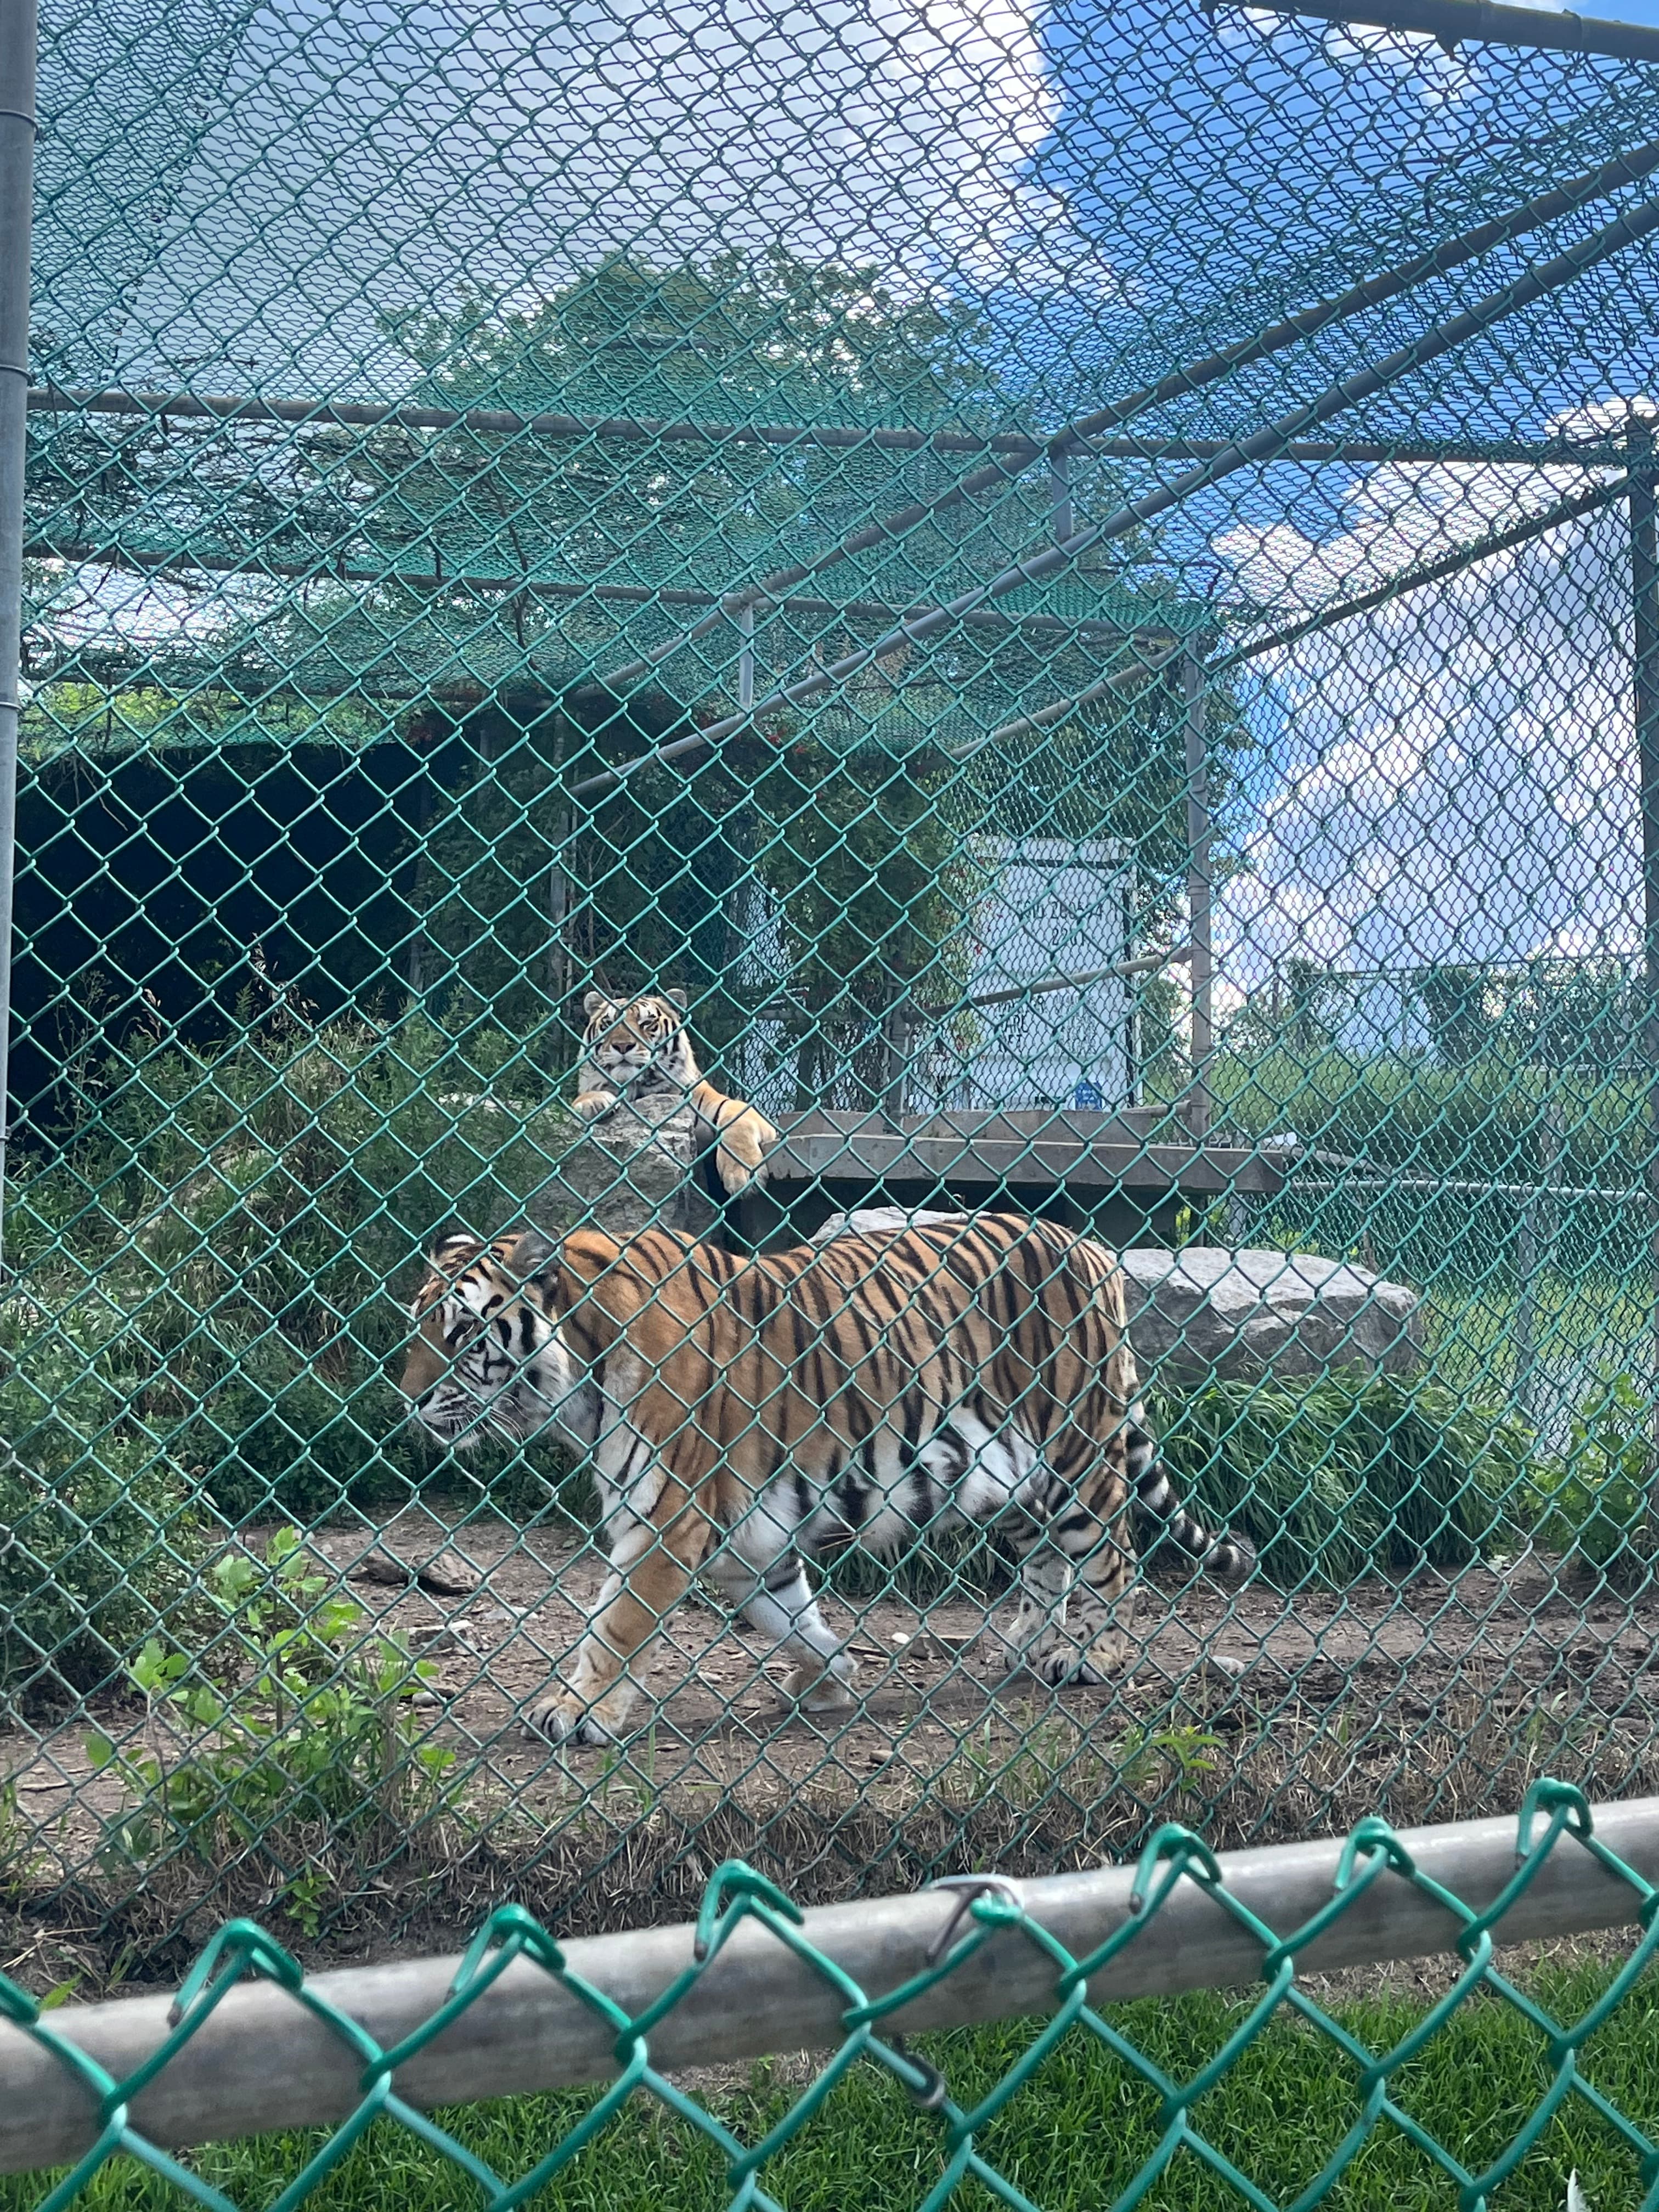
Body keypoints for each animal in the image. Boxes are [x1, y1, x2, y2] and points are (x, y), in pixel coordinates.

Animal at [401, 1211, 1252, 1747]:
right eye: (416, 1330)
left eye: (463, 1333)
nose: (407, 1396)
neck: (579, 1370)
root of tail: (1096, 1251)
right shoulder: (743, 1540)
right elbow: (789, 1618)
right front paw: (833, 1678)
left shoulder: (667, 1519)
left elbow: (614, 1627)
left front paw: (576, 1711)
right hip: (1009, 1472)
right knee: (1046, 1561)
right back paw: (1024, 1645)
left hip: (1079, 1453)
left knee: (1114, 1558)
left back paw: (1093, 1657)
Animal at [572, 988, 777, 1196]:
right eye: (608, 1023)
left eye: (646, 1023)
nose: (622, 1046)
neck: (637, 1088)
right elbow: (584, 1096)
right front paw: (593, 1102)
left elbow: (738, 1122)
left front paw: (743, 1174)